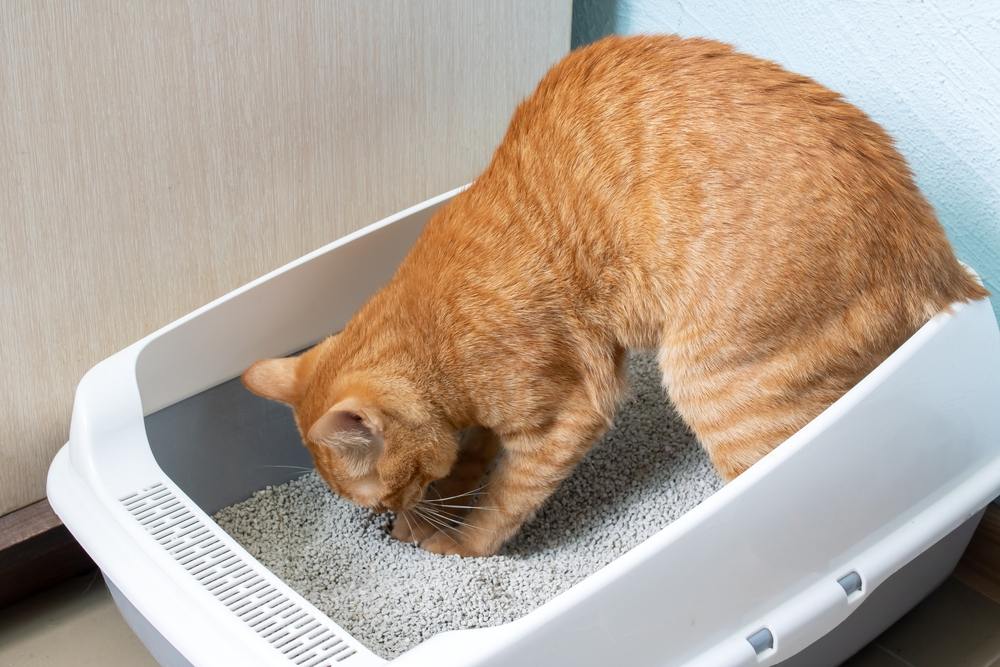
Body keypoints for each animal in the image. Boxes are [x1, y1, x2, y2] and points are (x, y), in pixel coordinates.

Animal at [242, 36, 984, 560]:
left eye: (385, 491)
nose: (384, 517)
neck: (436, 330)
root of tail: (933, 251)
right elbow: (474, 452)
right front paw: (446, 494)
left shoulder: (565, 410)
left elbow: (505, 496)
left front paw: (456, 536)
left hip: (718, 388)